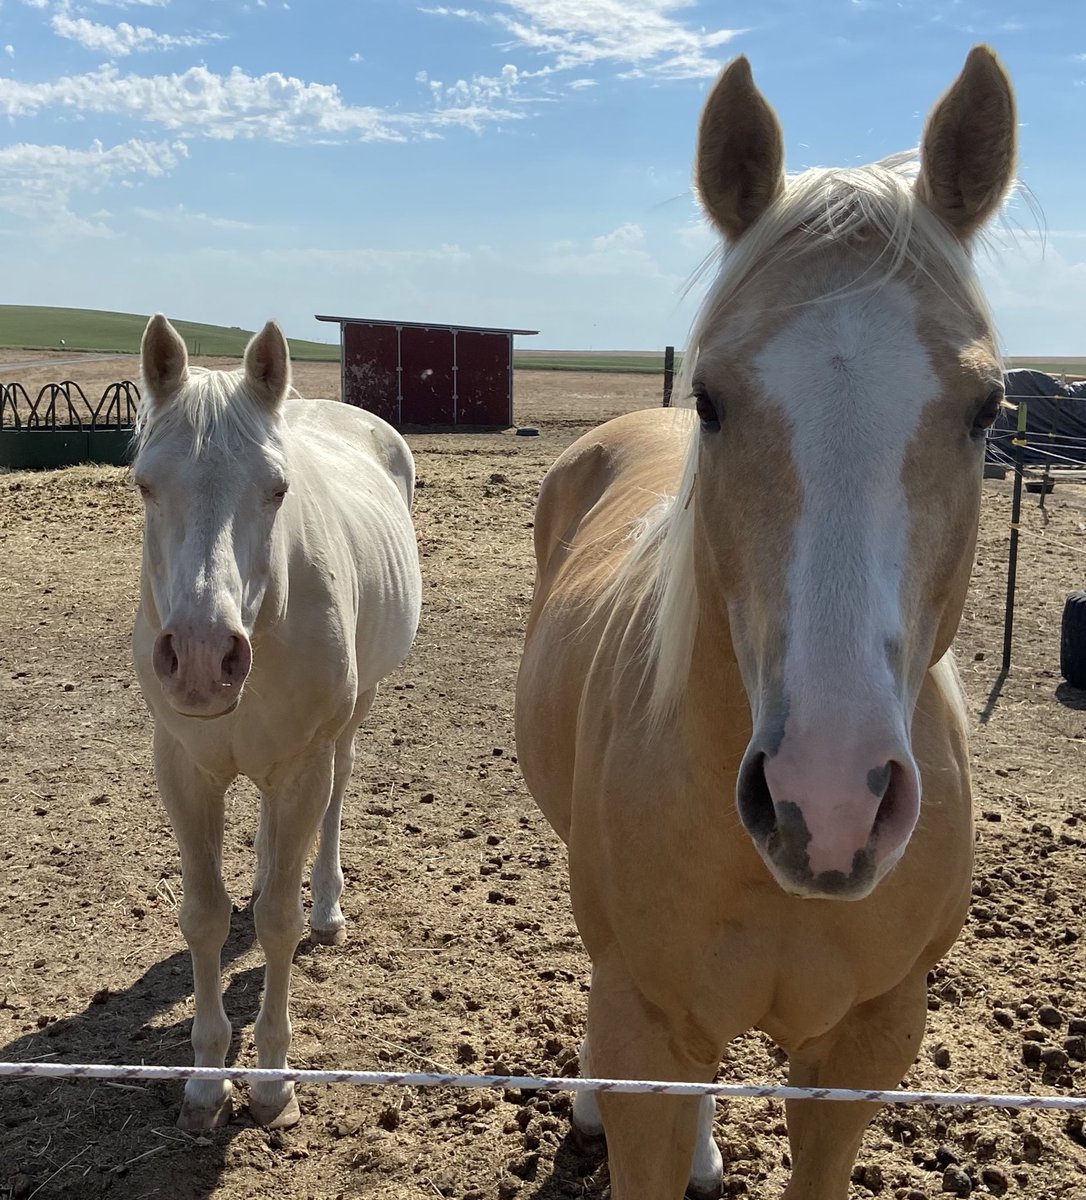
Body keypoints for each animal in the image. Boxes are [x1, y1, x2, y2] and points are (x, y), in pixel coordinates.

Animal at [131, 315, 421, 1130]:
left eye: (278, 488)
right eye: (144, 484)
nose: (202, 657)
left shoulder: (301, 764)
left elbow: (278, 927)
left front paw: (270, 1084)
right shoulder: (186, 768)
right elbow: (202, 917)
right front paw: (204, 1083)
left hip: (345, 726)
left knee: (335, 800)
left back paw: (326, 905)